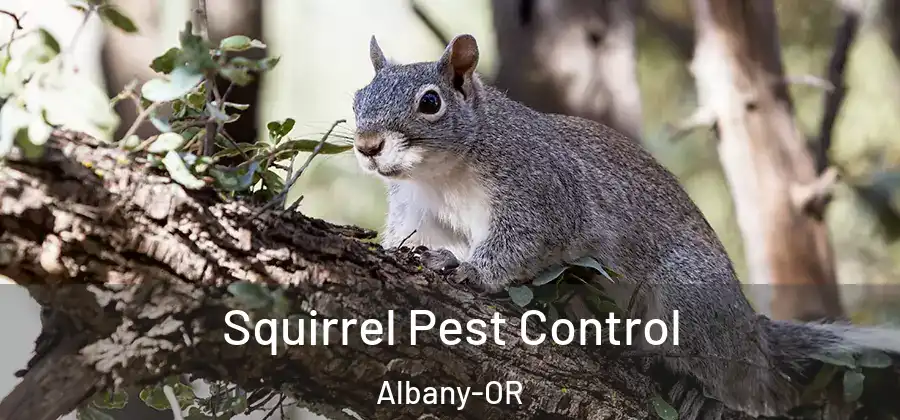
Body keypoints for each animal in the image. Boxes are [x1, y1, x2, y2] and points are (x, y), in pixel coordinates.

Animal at [350, 34, 900, 418]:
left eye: (430, 102)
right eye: (358, 97)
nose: (367, 145)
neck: (442, 174)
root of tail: (750, 331)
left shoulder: (543, 190)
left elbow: (523, 240)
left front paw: (470, 270)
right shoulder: (419, 211)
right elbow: (410, 238)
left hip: (689, 300)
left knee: (746, 384)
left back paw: (702, 392)